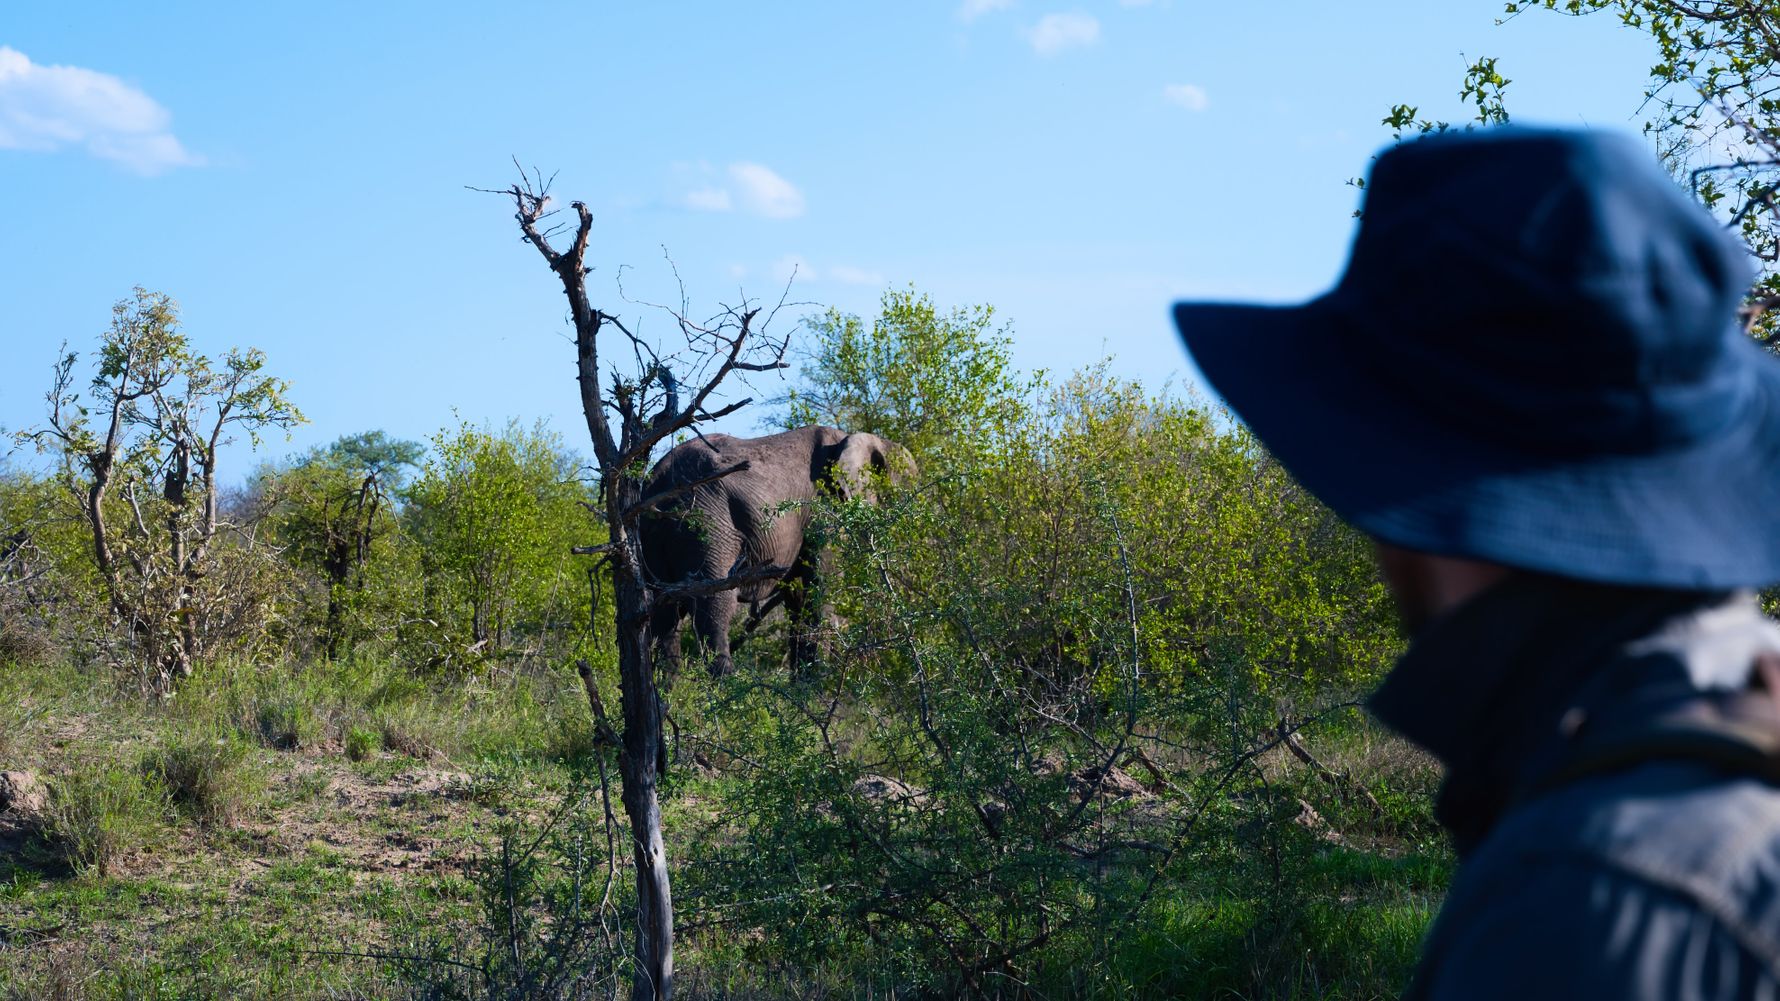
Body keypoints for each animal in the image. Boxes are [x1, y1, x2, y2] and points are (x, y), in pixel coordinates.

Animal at [638, 425, 913, 678]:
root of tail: (655, 483)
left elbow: (799, 598)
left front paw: (804, 689)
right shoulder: (825, 509)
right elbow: (820, 590)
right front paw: (818, 690)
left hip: (656, 534)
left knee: (665, 615)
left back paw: (671, 691)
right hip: (705, 522)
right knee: (714, 604)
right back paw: (726, 687)